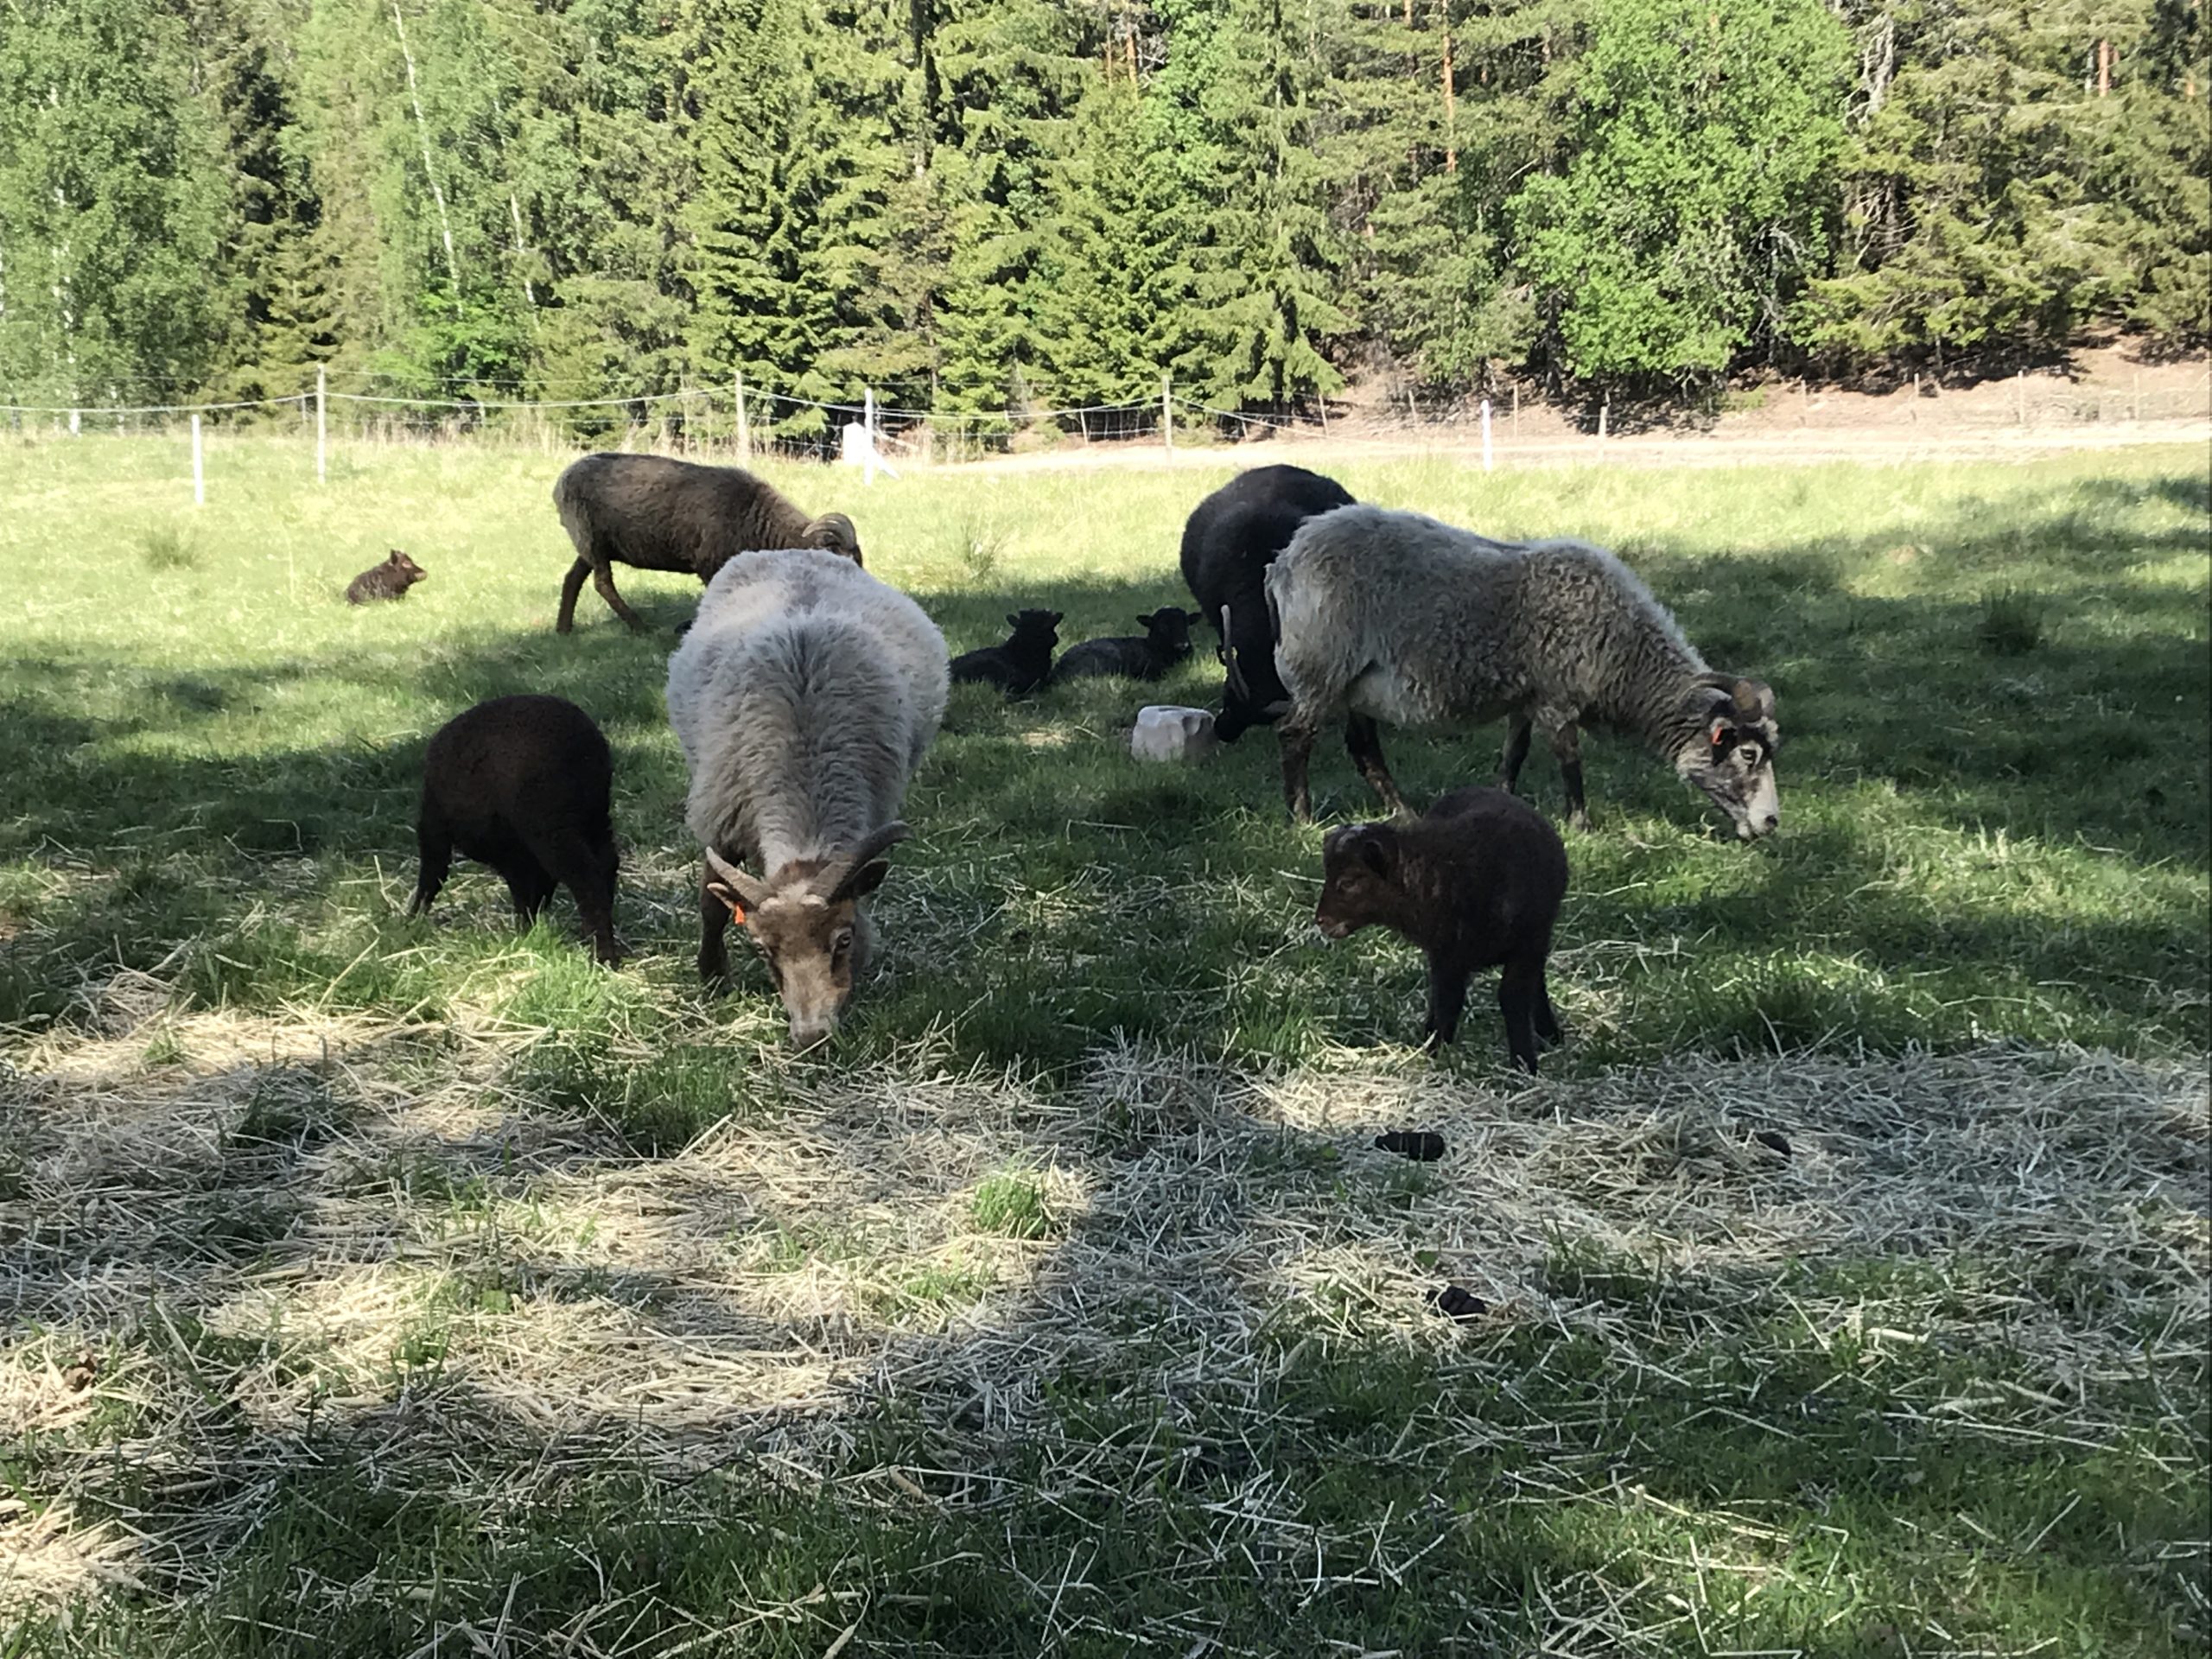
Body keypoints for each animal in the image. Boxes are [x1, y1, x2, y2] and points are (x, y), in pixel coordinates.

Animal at [409, 694, 621, 964]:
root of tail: (587, 746)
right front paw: (528, 928)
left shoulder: (439, 826)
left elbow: (432, 875)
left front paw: (412, 920)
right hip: (594, 815)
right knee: (606, 862)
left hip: (549, 820)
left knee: (584, 875)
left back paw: (603, 955)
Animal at [552, 452, 863, 633]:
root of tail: (562, 478)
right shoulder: (709, 565)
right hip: (591, 538)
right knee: (602, 583)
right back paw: (640, 627)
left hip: (590, 544)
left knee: (573, 578)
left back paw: (563, 629)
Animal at [665, 546, 948, 1046]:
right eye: (761, 949)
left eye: (844, 939)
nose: (812, 1035)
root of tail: (792, 549)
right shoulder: (722, 818)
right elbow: (712, 906)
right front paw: (712, 975)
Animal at [1265, 506, 1781, 839]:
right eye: (1748, 754)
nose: (1772, 823)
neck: (1627, 654)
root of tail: (1285, 558)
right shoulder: (1556, 699)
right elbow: (1570, 761)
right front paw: (1581, 826)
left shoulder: (1525, 700)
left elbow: (1513, 756)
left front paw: (1502, 807)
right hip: (1319, 666)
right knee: (1295, 736)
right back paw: (1302, 819)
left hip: (1356, 685)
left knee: (1364, 750)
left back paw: (1407, 816)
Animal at [1314, 785, 1569, 1069]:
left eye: (1348, 882)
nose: (1321, 920)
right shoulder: (1446, 954)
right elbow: (1447, 1000)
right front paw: (1435, 1049)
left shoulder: (1527, 946)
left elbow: (1512, 997)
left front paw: (1524, 1063)